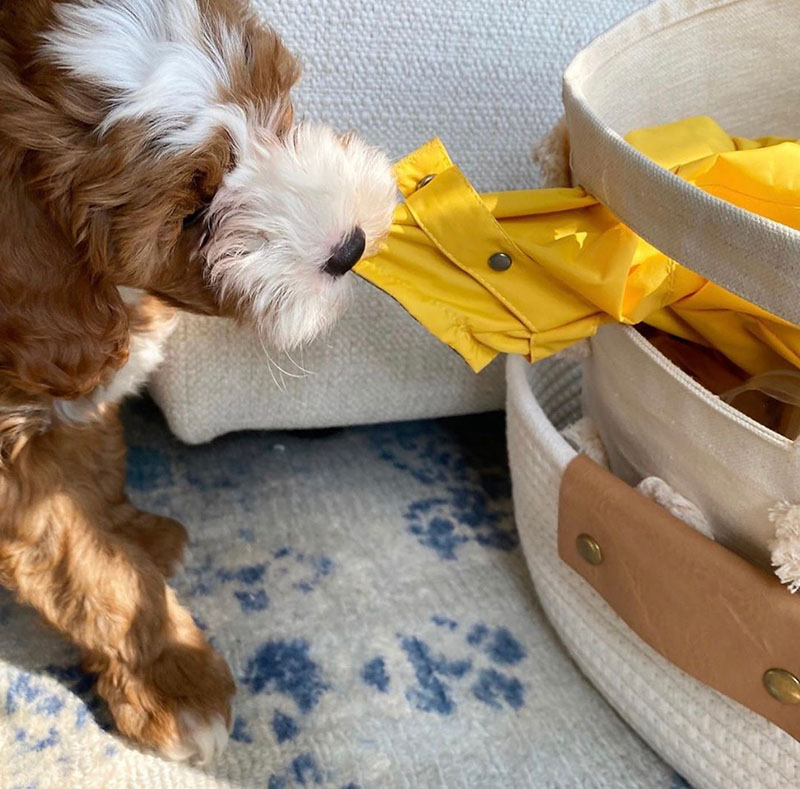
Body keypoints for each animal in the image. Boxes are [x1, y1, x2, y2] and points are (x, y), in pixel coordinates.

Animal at [0, 0, 396, 764]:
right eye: (191, 212)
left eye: (276, 110)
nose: (350, 247)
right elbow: (92, 567)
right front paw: (174, 683)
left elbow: (97, 474)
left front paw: (138, 532)